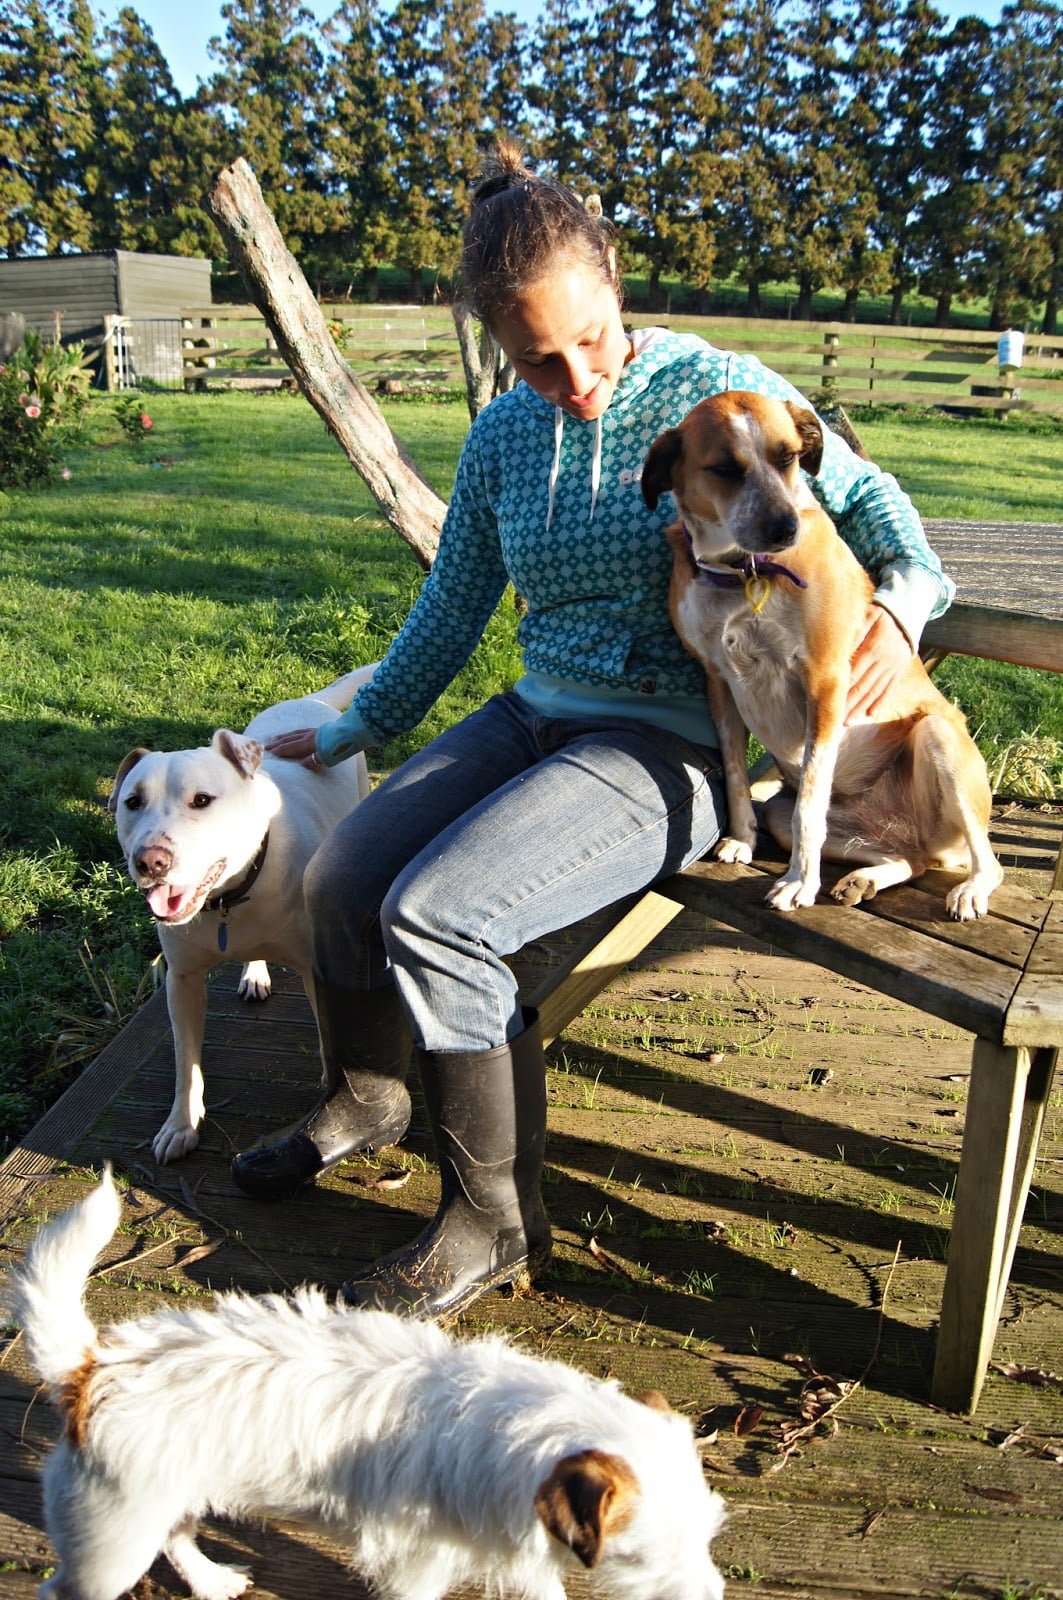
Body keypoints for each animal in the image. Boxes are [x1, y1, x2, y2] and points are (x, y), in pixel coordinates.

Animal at [8, 1168, 727, 1600]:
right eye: (644, 1555)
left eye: (706, 1535)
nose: (714, 1594)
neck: (515, 1426)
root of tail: (93, 1369)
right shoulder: (416, 1567)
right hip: (112, 1542)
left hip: (165, 1497)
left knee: (178, 1535)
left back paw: (212, 1581)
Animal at [108, 669, 375, 1164]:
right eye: (132, 802)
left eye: (202, 800)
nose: (149, 861)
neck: (227, 899)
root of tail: (308, 700)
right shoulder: (182, 980)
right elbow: (186, 1062)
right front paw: (181, 1125)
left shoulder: (316, 970)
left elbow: (329, 1037)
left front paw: (334, 1097)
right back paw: (254, 972)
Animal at [642, 392, 1002, 920]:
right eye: (725, 468)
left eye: (788, 457)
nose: (784, 527)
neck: (747, 573)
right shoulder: (718, 682)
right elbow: (735, 773)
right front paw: (741, 839)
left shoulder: (825, 682)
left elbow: (810, 802)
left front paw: (799, 882)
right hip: (811, 819)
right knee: (911, 857)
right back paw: (865, 880)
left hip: (939, 736)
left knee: (988, 863)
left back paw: (971, 889)